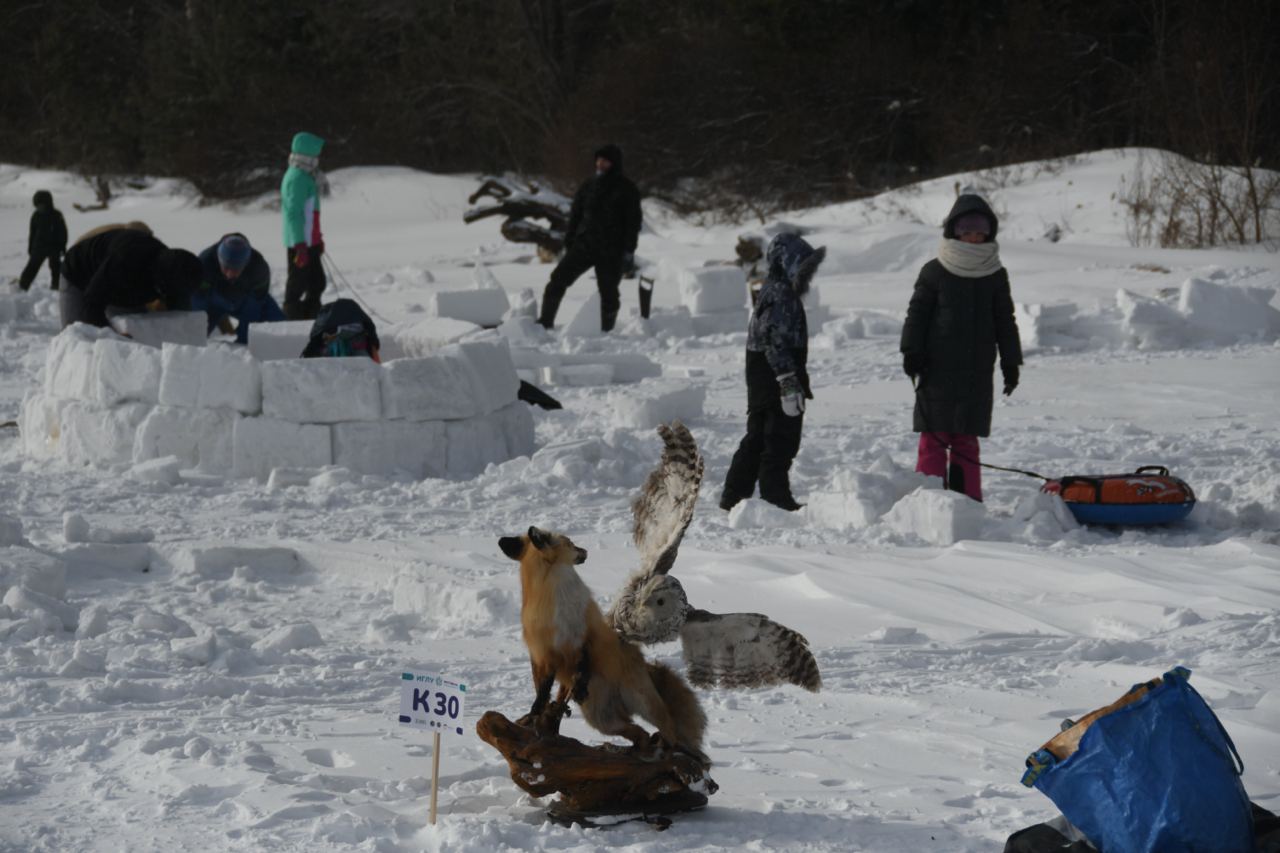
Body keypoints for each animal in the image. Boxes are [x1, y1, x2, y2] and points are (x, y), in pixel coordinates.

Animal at [496, 522, 711, 758]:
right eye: (571, 543)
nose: (585, 551)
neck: (552, 607)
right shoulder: (542, 655)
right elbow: (542, 692)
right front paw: (534, 714)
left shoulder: (583, 638)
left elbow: (582, 664)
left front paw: (576, 688)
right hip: (601, 719)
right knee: (639, 732)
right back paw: (630, 749)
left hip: (641, 703)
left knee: (668, 726)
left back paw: (669, 749)